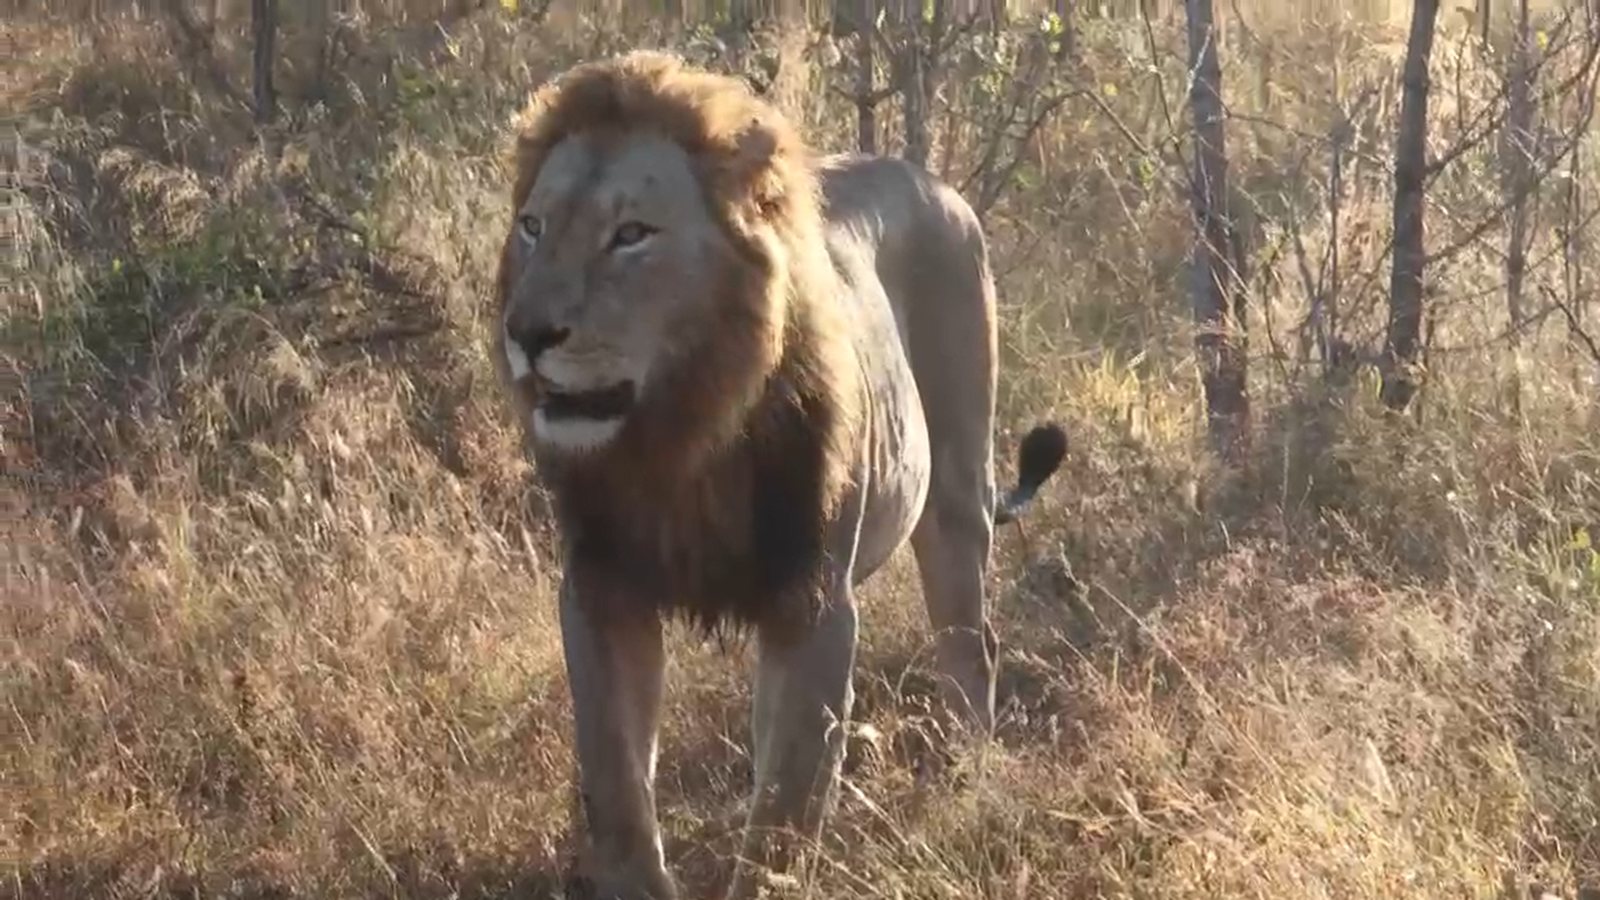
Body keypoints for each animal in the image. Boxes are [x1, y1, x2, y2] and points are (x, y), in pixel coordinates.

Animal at [491, 51, 1067, 900]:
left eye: (631, 235)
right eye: (532, 227)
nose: (526, 334)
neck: (680, 442)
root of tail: (935, 182)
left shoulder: (814, 604)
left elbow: (786, 812)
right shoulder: (600, 593)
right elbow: (618, 785)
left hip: (956, 495)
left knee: (972, 645)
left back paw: (974, 782)